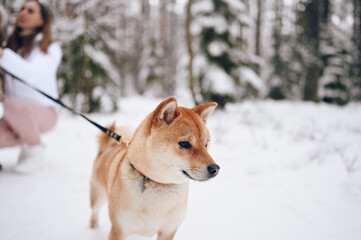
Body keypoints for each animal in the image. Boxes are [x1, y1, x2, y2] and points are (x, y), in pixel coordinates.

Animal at [90, 97, 219, 240]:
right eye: (185, 143)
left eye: (206, 144)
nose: (215, 168)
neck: (160, 184)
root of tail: (109, 147)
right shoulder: (119, 230)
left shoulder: (168, 229)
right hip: (98, 196)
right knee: (94, 211)